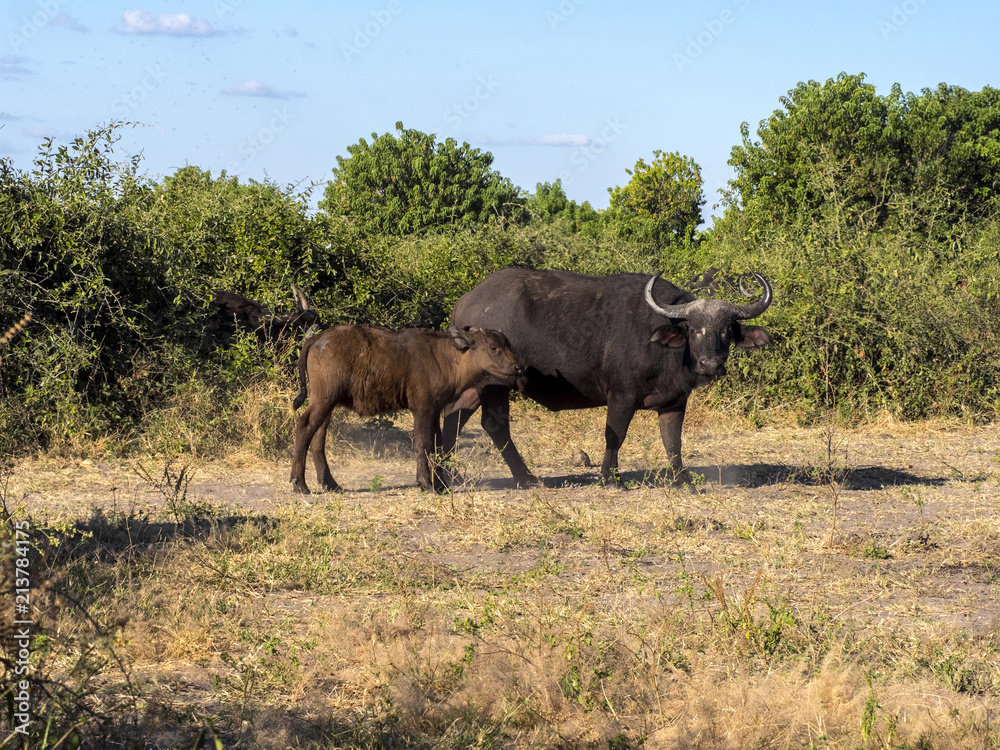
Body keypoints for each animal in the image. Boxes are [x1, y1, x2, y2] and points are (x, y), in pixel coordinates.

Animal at [290, 326, 524, 496]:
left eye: (509, 346)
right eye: (493, 347)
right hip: (323, 399)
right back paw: (299, 484)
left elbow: (437, 444)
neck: (445, 358)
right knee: (304, 427)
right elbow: (423, 444)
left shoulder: (434, 411)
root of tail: (317, 338)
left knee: (318, 437)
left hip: (327, 403)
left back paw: (330, 484)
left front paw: (441, 484)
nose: (518, 368)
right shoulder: (422, 409)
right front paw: (426, 483)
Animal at [446, 270, 772, 488]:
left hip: (476, 389)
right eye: (694, 329)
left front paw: (682, 480)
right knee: (495, 425)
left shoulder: (675, 402)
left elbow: (673, 441)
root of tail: (465, 302)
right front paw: (611, 478)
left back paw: (449, 472)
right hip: (496, 385)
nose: (711, 364)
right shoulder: (621, 395)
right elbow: (615, 435)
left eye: (727, 330)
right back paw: (525, 477)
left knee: (455, 415)